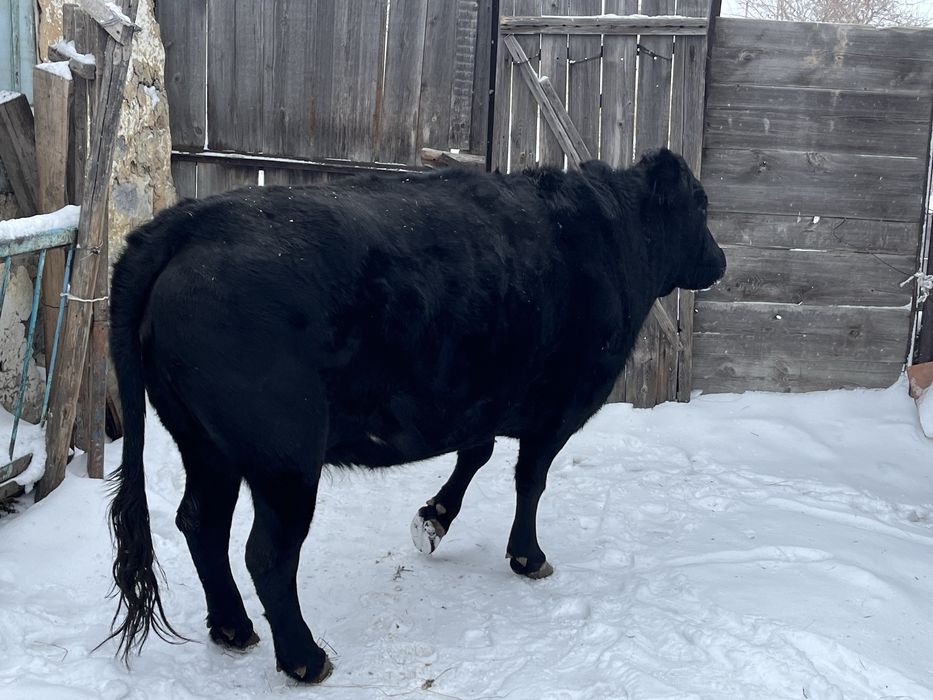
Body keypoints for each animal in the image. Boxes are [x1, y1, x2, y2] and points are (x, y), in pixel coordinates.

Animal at [105, 148, 726, 683]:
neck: (610, 236)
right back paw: (305, 658)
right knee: (267, 554)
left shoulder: (479, 398)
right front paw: (528, 557)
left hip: (206, 444)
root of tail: (184, 224)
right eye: (700, 204)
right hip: (283, 455)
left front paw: (434, 517)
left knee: (201, 523)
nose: (719, 261)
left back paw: (233, 628)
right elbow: (531, 481)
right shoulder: (558, 408)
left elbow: (477, 451)